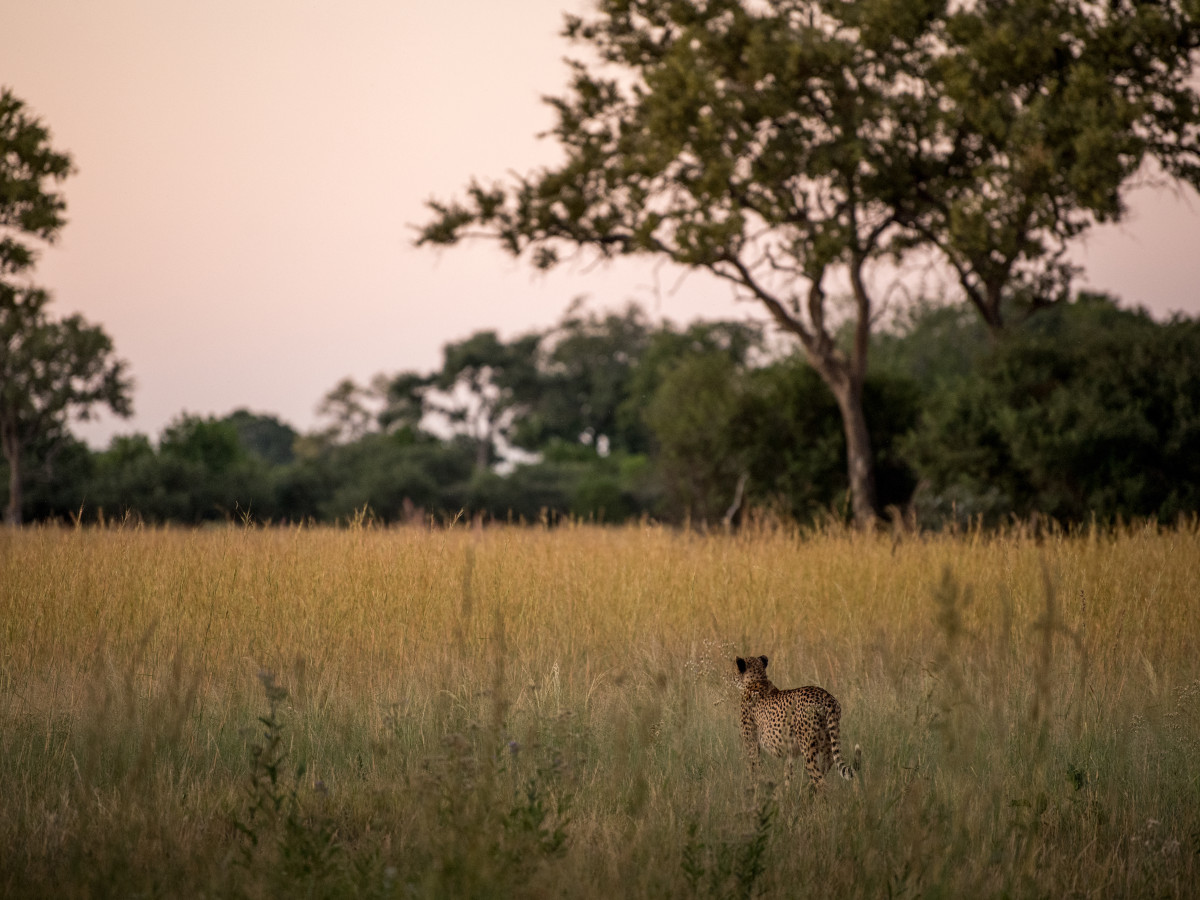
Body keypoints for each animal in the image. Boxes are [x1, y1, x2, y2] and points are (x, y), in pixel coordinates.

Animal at [735, 654, 861, 791]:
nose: (733, 678)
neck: (756, 680)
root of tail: (826, 696)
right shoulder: (789, 751)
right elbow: (787, 773)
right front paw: (786, 792)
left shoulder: (752, 744)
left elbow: (755, 769)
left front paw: (756, 789)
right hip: (827, 744)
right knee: (826, 767)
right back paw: (808, 791)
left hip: (808, 748)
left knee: (820, 781)